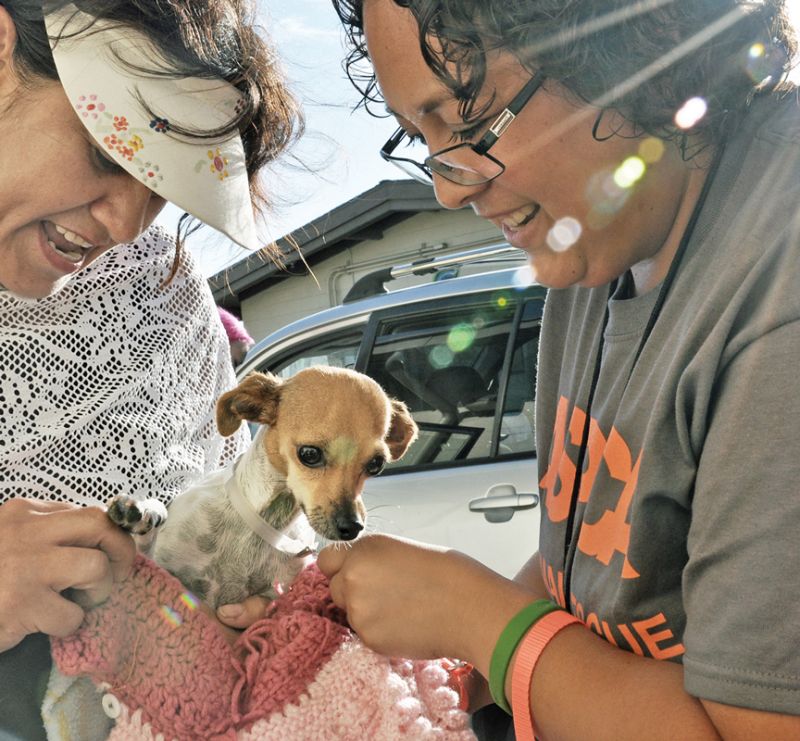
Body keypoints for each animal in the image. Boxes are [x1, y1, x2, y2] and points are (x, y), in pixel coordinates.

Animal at [108, 368, 418, 608]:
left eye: (376, 464)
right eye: (309, 454)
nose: (352, 527)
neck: (269, 520)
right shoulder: (164, 567)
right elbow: (145, 547)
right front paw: (143, 512)